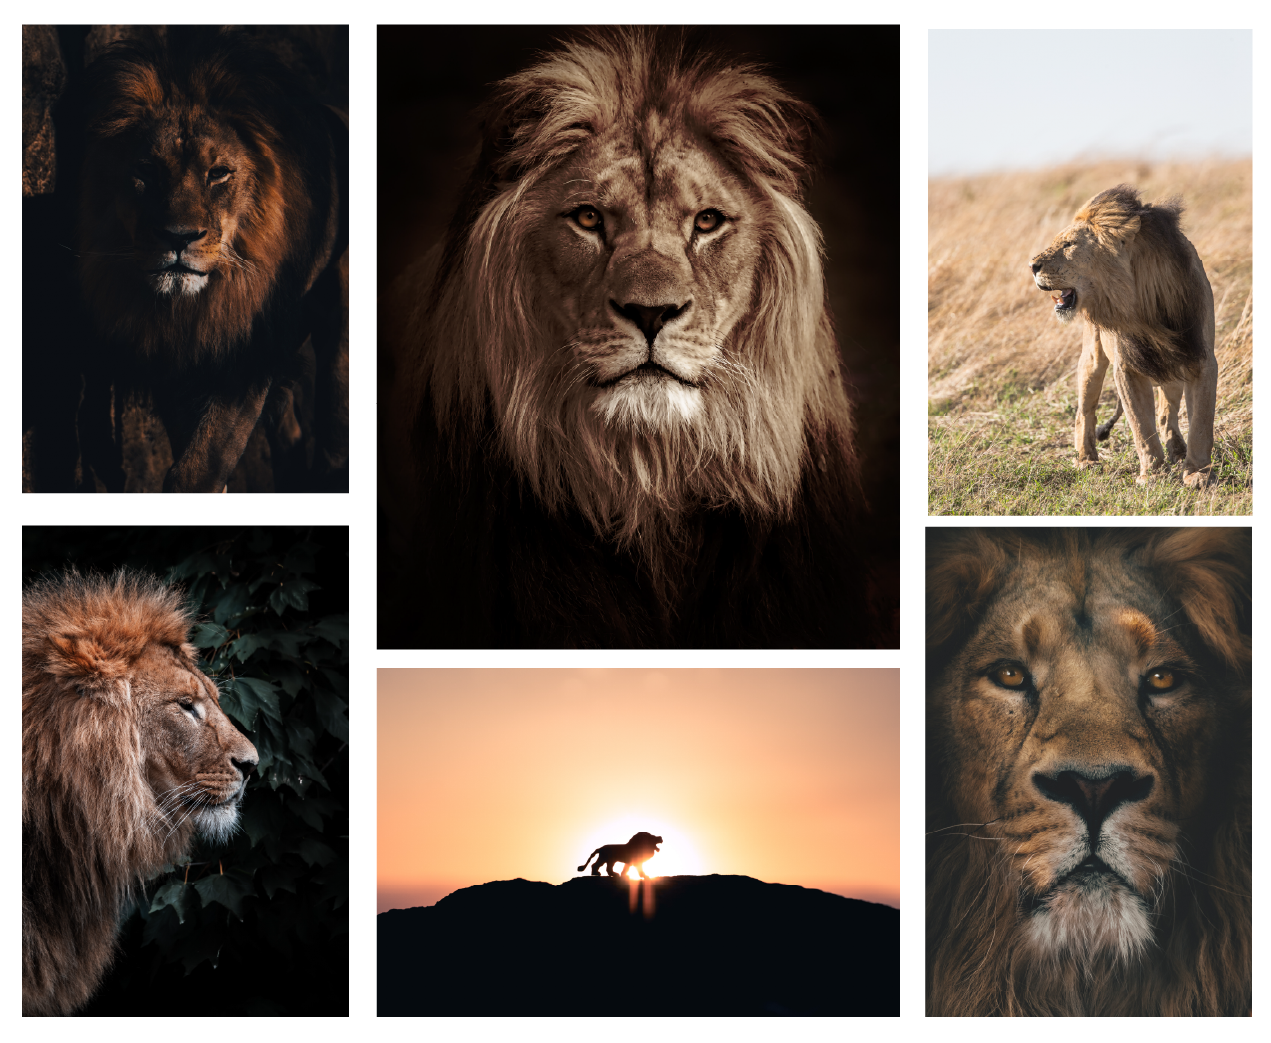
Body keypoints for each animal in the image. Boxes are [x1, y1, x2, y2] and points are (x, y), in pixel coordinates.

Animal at [77, 27, 348, 492]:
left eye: (218, 173)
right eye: (146, 171)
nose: (178, 237)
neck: (195, 304)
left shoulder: (248, 354)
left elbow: (199, 468)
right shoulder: (174, 362)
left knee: (333, 431)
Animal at [1028, 185, 1217, 486]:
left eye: (1069, 245)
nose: (1031, 266)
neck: (1144, 304)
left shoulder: (1200, 357)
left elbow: (1200, 421)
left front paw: (1197, 473)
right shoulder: (1127, 367)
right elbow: (1141, 425)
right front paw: (1152, 475)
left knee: (1166, 412)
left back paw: (1177, 449)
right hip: (1092, 358)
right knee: (1084, 411)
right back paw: (1086, 459)